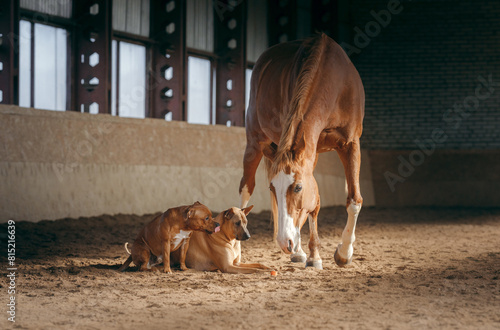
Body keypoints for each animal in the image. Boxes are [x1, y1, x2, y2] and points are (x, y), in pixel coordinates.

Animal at [238, 34, 364, 270]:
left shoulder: (350, 143)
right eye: (273, 188)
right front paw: (311, 253)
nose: (283, 242)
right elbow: (314, 204)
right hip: (254, 143)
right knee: (245, 189)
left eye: (297, 187)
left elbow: (352, 200)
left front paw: (342, 253)